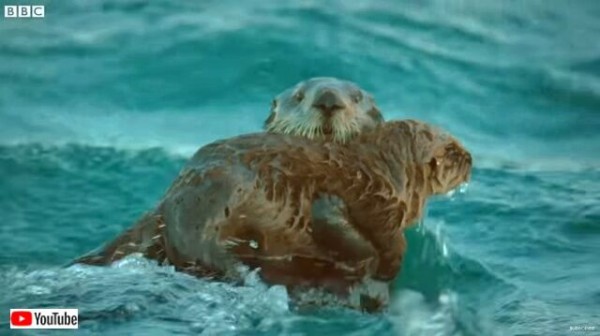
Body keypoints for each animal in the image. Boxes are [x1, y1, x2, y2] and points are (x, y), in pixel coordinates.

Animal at [72, 119, 472, 312]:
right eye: (453, 150)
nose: (470, 159)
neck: (386, 172)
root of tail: (169, 198)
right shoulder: (381, 207)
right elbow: (388, 248)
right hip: (219, 192)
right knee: (198, 248)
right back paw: (242, 270)